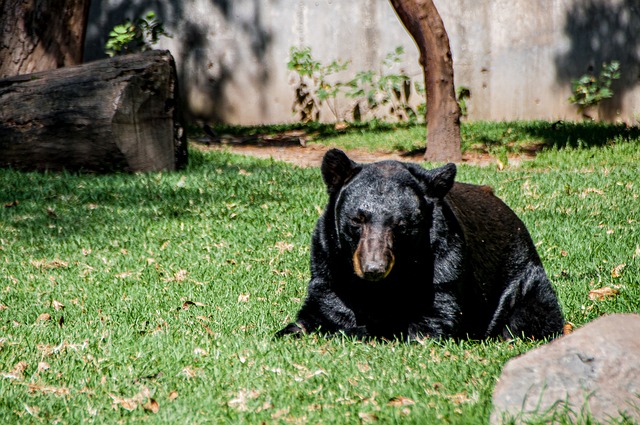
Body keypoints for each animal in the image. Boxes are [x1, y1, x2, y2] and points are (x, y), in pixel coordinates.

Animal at [278, 149, 564, 342]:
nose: (374, 268)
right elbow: (319, 311)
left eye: (402, 226)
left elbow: (433, 318)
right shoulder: (328, 268)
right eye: (357, 220)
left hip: (523, 282)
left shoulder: (444, 266)